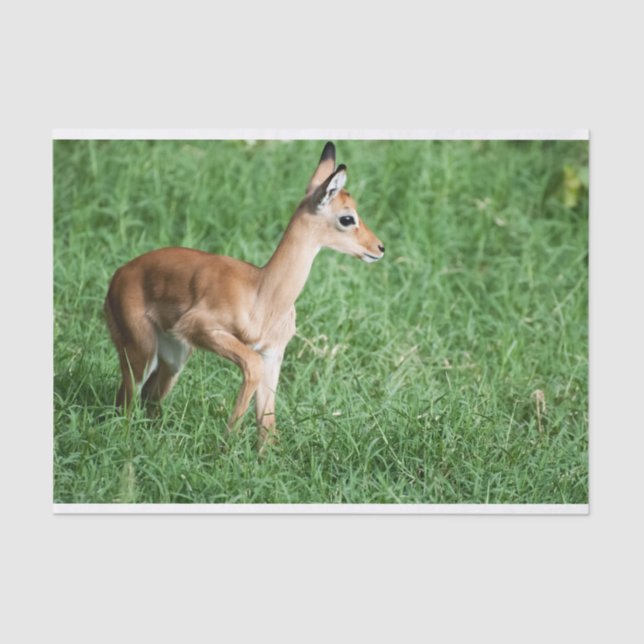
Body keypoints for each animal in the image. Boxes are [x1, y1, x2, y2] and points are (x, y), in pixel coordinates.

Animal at [104, 142, 385, 447]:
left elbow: (268, 423)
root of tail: (118, 276)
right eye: (347, 218)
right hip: (141, 351)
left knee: (148, 399)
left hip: (174, 357)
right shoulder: (205, 329)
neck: (263, 294)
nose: (379, 247)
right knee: (125, 403)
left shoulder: (273, 354)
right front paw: (225, 447)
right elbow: (251, 367)